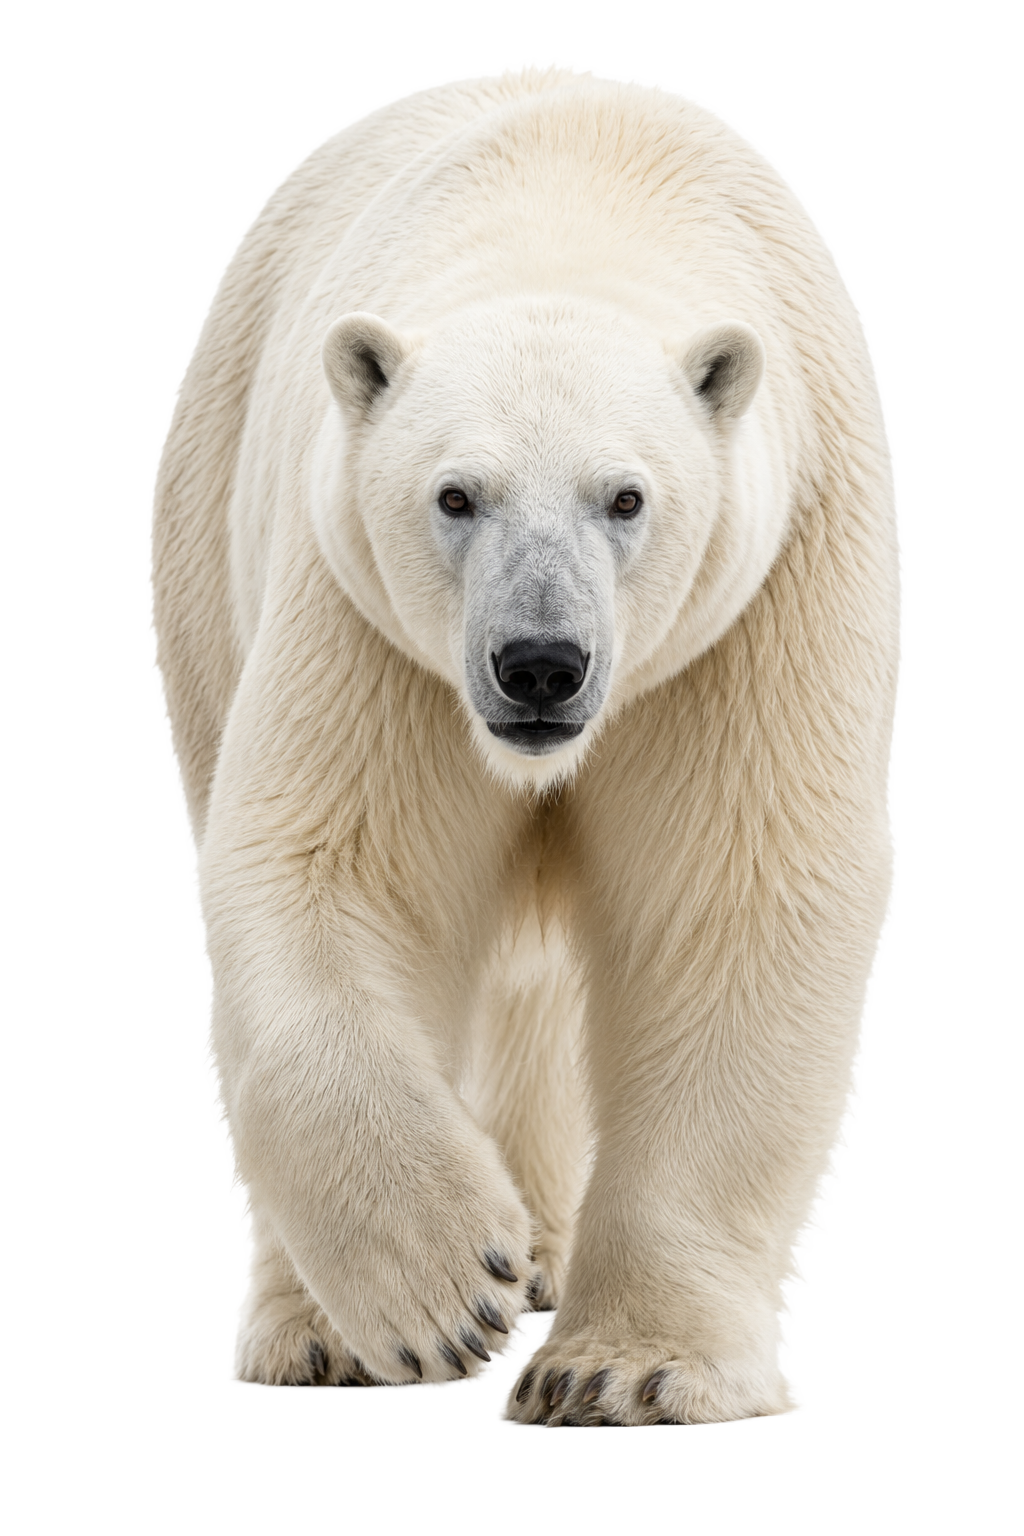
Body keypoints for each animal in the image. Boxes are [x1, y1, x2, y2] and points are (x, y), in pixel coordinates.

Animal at [152, 67, 897, 1426]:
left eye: (627, 496)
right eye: (456, 495)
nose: (540, 664)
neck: (579, 189)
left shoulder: (756, 598)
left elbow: (735, 895)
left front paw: (627, 1368)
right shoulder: (366, 614)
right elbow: (334, 869)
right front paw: (453, 1283)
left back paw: (546, 1250)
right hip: (206, 523)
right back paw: (318, 1332)